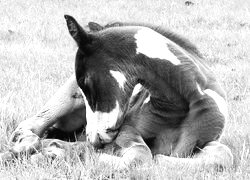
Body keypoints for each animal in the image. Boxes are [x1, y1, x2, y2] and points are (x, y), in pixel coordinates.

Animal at [1, 15, 232, 169]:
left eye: (85, 80)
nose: (94, 138)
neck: (182, 102)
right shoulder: (127, 130)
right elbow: (142, 154)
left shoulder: (207, 141)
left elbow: (224, 155)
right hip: (65, 102)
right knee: (30, 127)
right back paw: (31, 148)